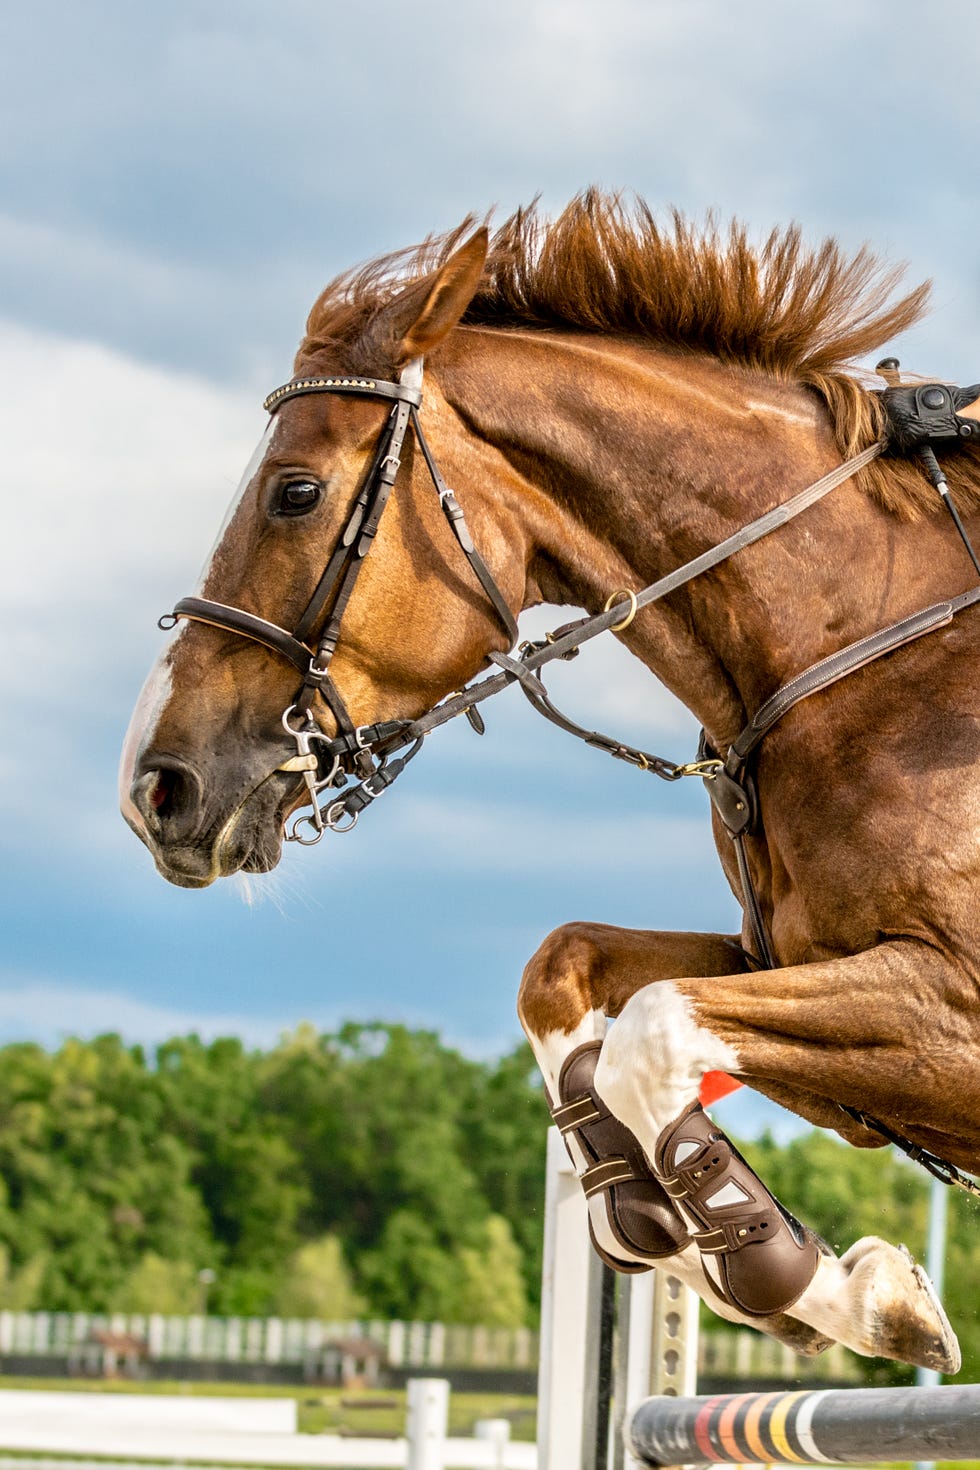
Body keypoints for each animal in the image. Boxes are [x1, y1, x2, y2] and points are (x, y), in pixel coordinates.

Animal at [124, 195, 980, 1364]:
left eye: (295, 494)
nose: (155, 787)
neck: (864, 652)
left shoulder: (946, 1008)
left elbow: (652, 1027)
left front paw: (790, 1270)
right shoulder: (793, 965)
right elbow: (566, 971)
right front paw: (710, 1239)